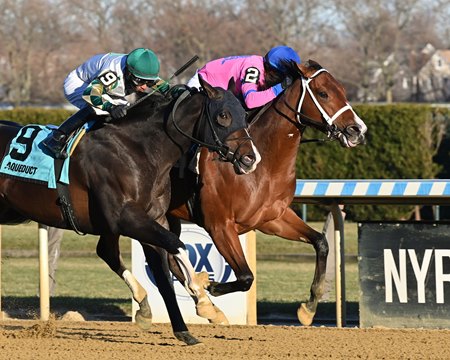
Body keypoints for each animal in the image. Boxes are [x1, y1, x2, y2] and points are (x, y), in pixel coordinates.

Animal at [0, 77, 260, 344]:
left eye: (244, 114)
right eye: (223, 115)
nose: (250, 159)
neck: (138, 149)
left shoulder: (153, 219)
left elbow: (165, 274)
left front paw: (187, 324)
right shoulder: (127, 218)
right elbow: (177, 246)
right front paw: (202, 292)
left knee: (107, 251)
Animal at [167, 59, 368, 326]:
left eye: (343, 91)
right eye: (324, 93)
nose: (358, 130)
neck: (263, 165)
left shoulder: (272, 218)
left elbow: (321, 242)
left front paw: (308, 308)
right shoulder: (219, 225)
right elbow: (245, 277)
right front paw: (211, 285)